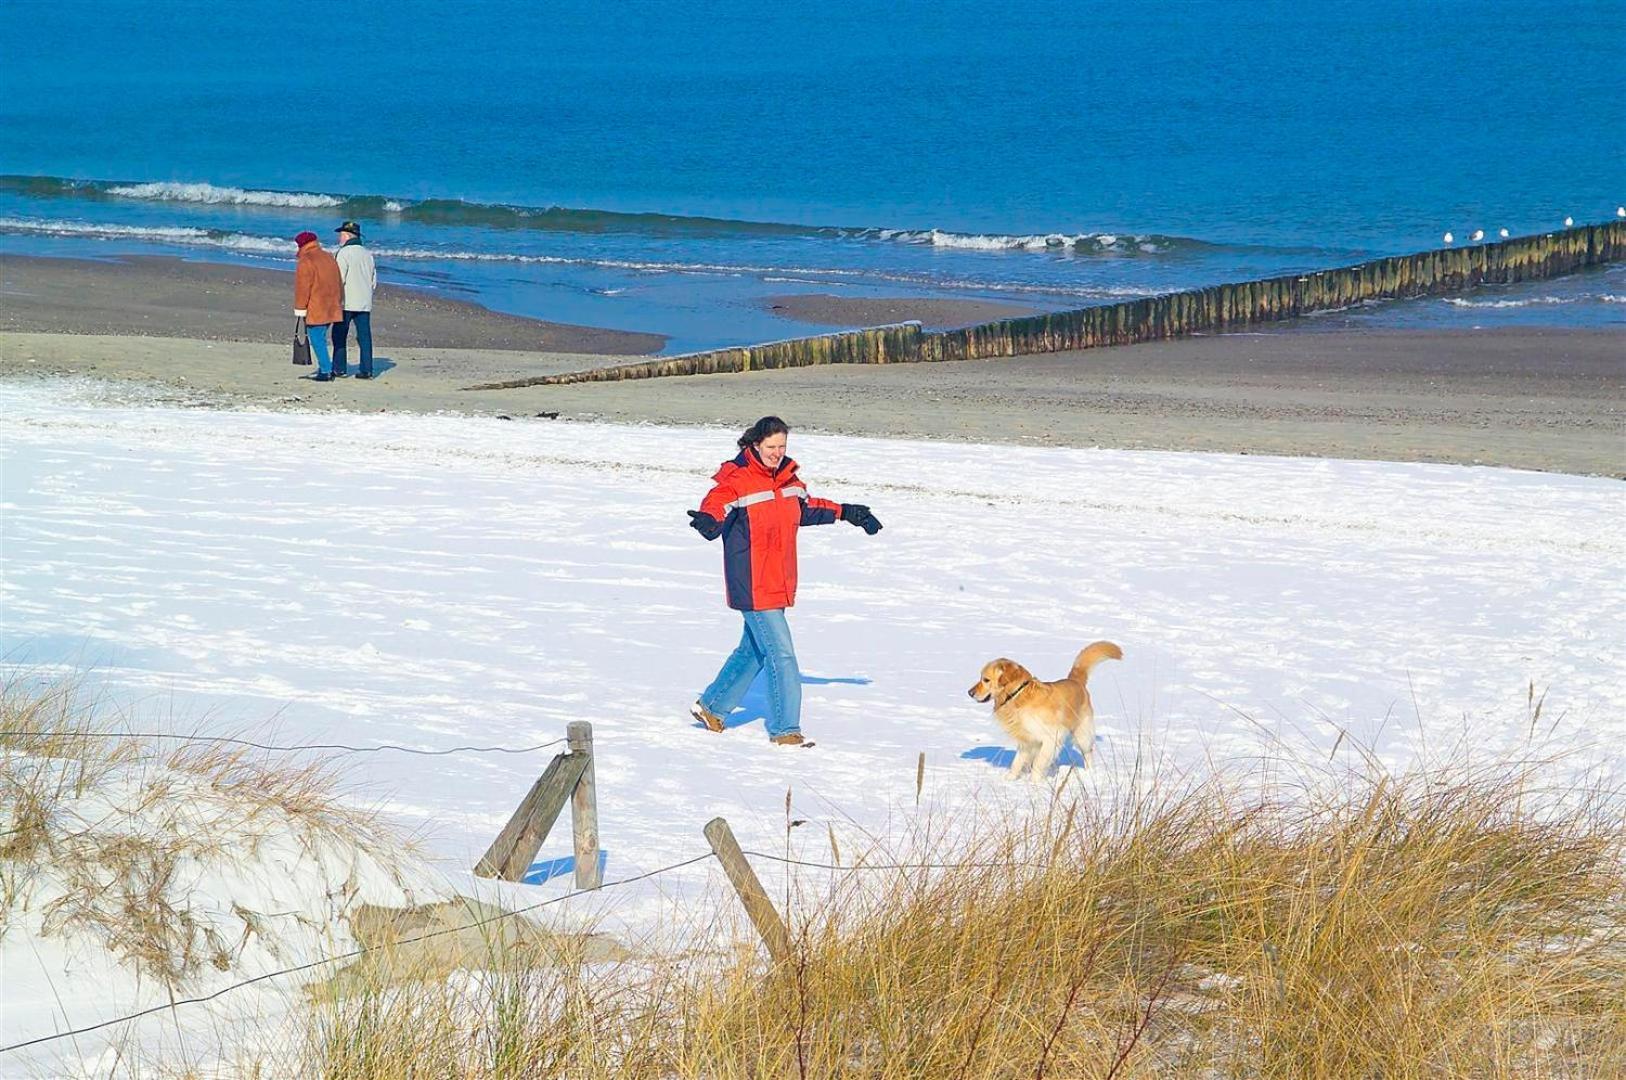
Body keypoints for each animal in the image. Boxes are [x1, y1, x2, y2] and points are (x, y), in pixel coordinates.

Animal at [962, 637, 1118, 780]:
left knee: (1088, 753)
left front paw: (1035, 784)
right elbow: (1017, 762)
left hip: (1082, 734)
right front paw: (1009, 779)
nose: (969, 693)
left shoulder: (1051, 738)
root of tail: (1075, 680)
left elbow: (1038, 763)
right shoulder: (1026, 741)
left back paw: (1089, 773)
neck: (1018, 695)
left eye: (986, 679)